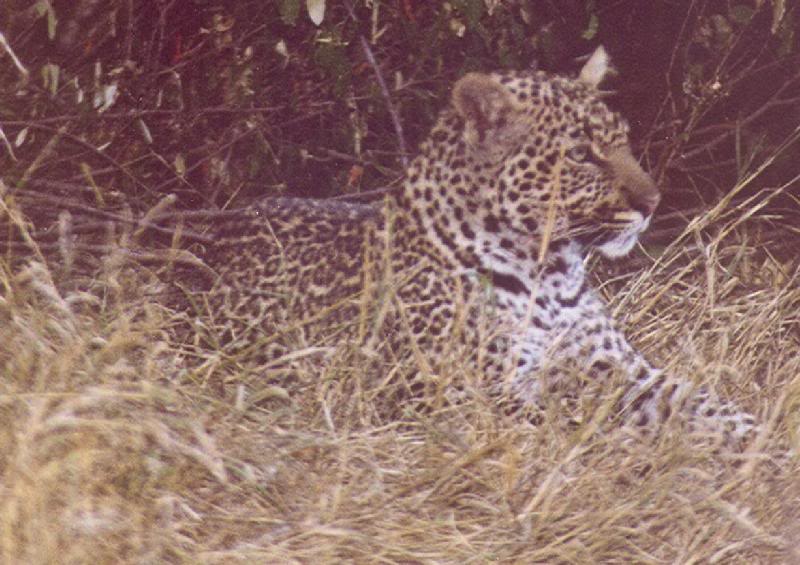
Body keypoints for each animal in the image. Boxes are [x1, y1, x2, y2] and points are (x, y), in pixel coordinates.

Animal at [196, 47, 757, 444]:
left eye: (622, 140)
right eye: (580, 154)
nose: (652, 202)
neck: (551, 274)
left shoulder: (627, 372)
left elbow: (712, 406)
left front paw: (761, 451)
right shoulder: (464, 396)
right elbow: (582, 434)